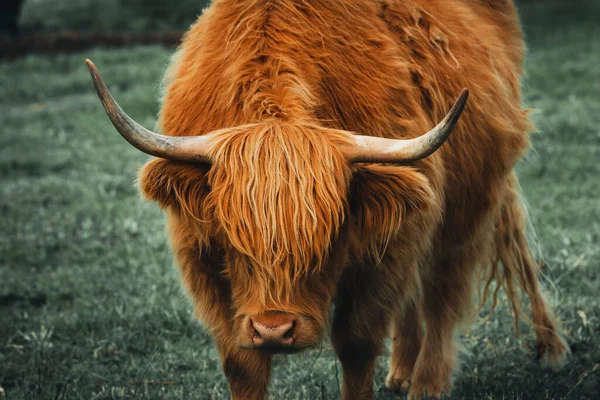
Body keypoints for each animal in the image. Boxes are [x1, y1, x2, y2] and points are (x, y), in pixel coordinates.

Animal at [86, 0, 568, 400]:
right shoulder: (201, 261)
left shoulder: (383, 254)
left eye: (329, 236)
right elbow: (241, 363)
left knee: (441, 294)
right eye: (232, 238)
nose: (275, 330)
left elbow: (356, 344)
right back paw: (401, 373)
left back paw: (428, 384)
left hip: (467, 208)